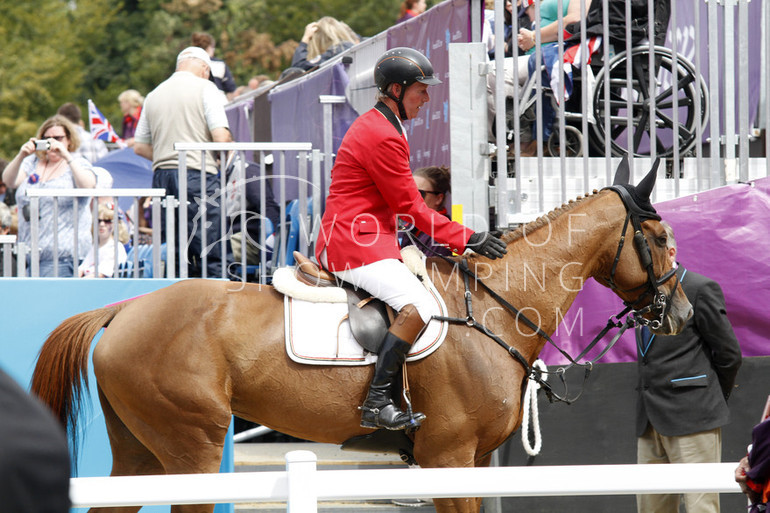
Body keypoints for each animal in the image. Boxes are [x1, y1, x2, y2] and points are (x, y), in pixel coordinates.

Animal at [31, 162, 688, 510]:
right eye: (660, 239)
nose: (679, 311)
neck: (492, 308)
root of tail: (124, 308)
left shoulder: (473, 461)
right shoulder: (450, 459)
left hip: (142, 450)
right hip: (191, 448)